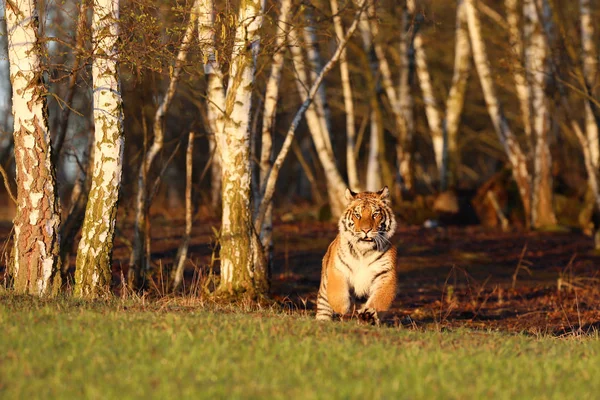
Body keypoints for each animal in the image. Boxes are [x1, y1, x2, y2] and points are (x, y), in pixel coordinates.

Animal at [316, 186, 396, 324]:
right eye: (357, 215)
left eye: (375, 214)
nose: (366, 230)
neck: (364, 252)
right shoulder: (338, 269)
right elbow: (337, 295)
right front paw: (344, 310)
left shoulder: (385, 273)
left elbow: (380, 299)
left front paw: (368, 315)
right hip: (323, 299)